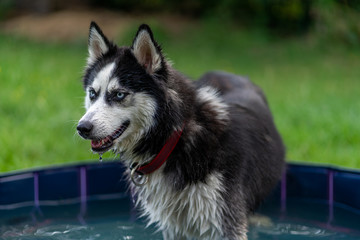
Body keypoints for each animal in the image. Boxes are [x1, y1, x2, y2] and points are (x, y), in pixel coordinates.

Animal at [77, 21, 286, 239]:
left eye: (118, 94)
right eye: (92, 93)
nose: (82, 128)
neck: (174, 139)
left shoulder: (227, 222)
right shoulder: (174, 226)